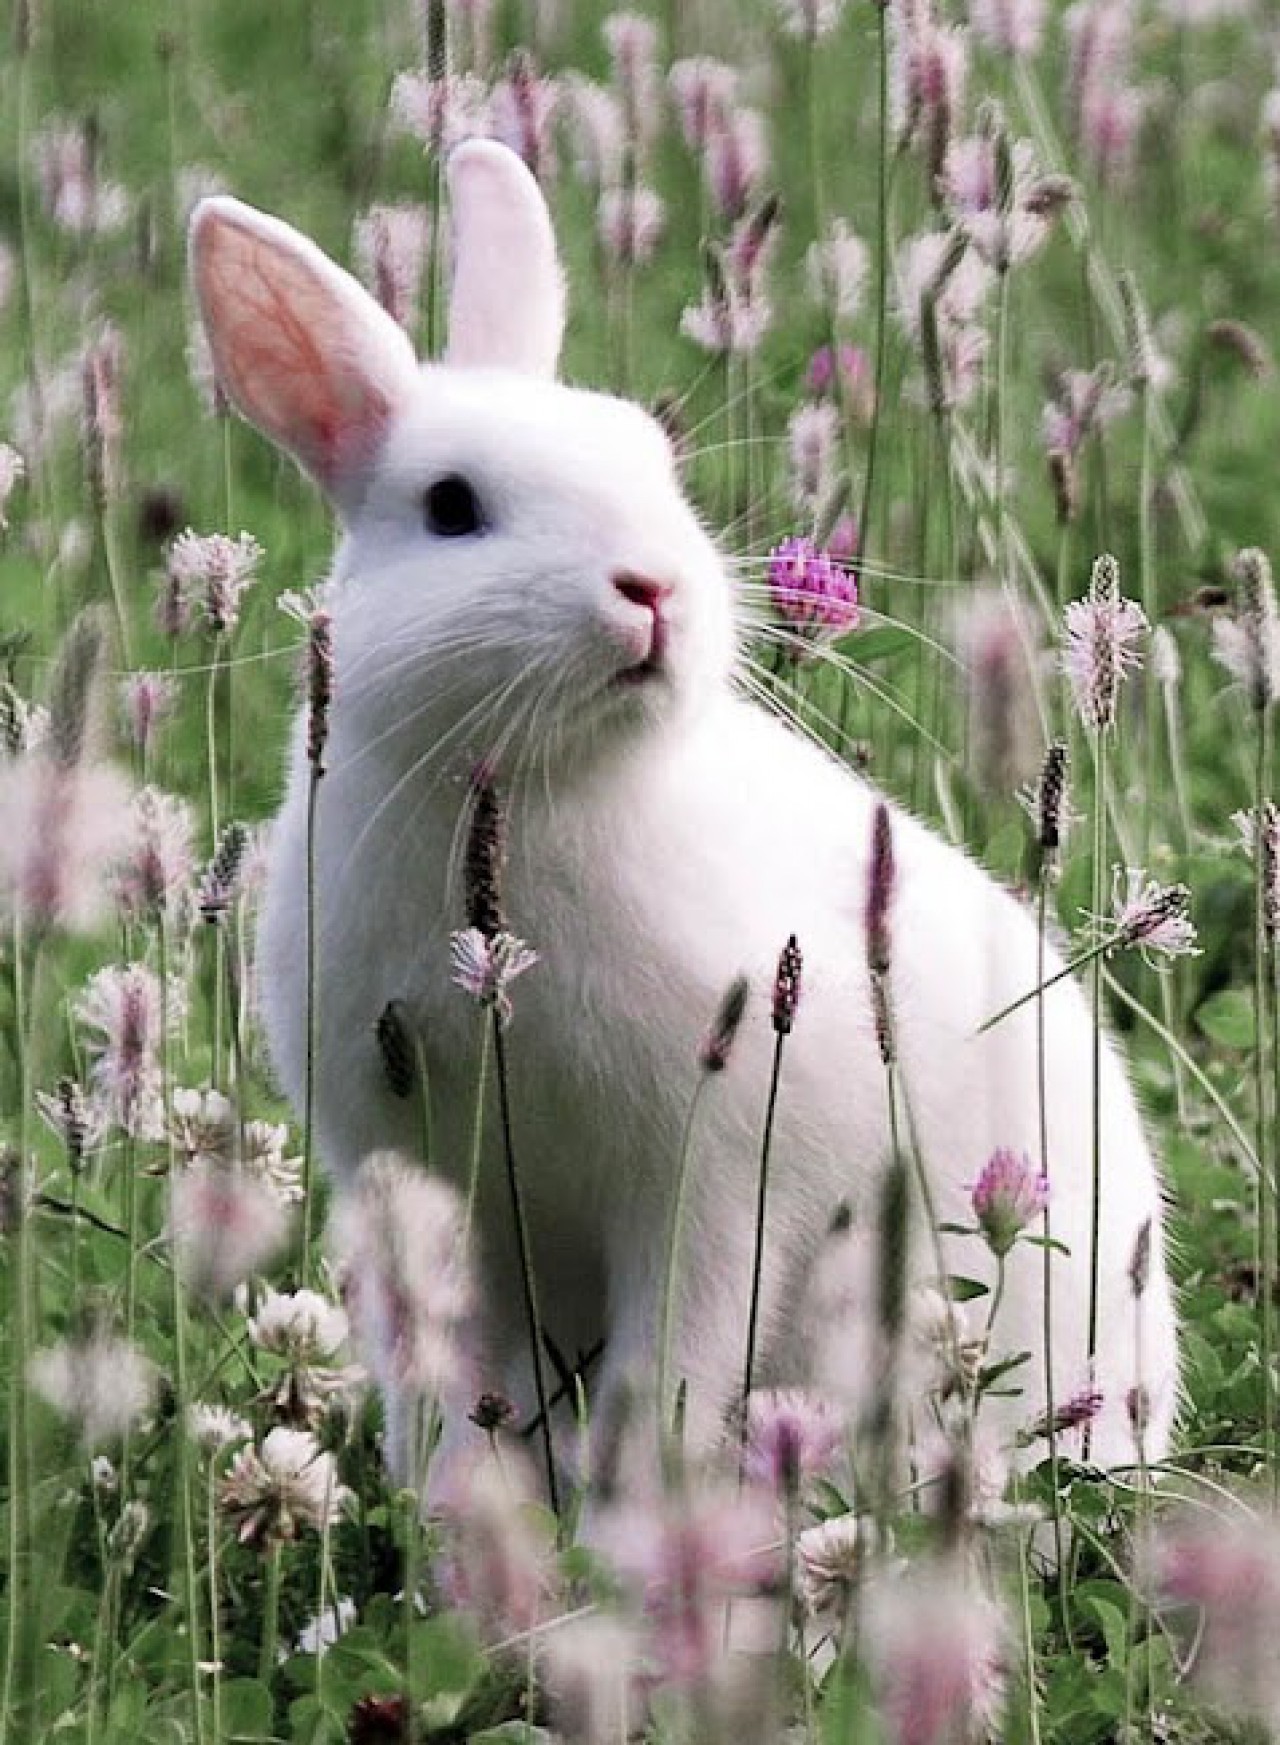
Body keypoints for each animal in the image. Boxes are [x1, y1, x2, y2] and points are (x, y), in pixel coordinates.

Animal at [189, 138, 1176, 1501]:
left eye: (651, 461)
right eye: (449, 506)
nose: (650, 587)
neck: (545, 789)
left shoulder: (715, 1189)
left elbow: (669, 1375)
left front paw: (622, 1524)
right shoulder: (413, 1178)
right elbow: (448, 1384)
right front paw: (467, 1521)